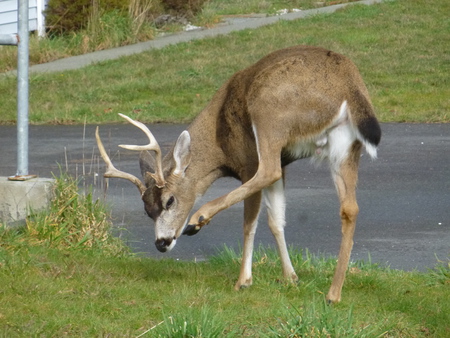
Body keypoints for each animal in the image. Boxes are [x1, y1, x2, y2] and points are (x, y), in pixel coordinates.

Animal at [95, 45, 380, 304]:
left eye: (170, 200)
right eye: (146, 210)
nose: (161, 243)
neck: (219, 141)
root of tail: (349, 86)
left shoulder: (248, 162)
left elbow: (250, 222)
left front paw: (244, 280)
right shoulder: (285, 165)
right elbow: (276, 220)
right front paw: (291, 277)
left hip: (268, 115)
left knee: (268, 171)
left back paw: (199, 218)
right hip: (345, 147)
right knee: (350, 208)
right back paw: (333, 294)